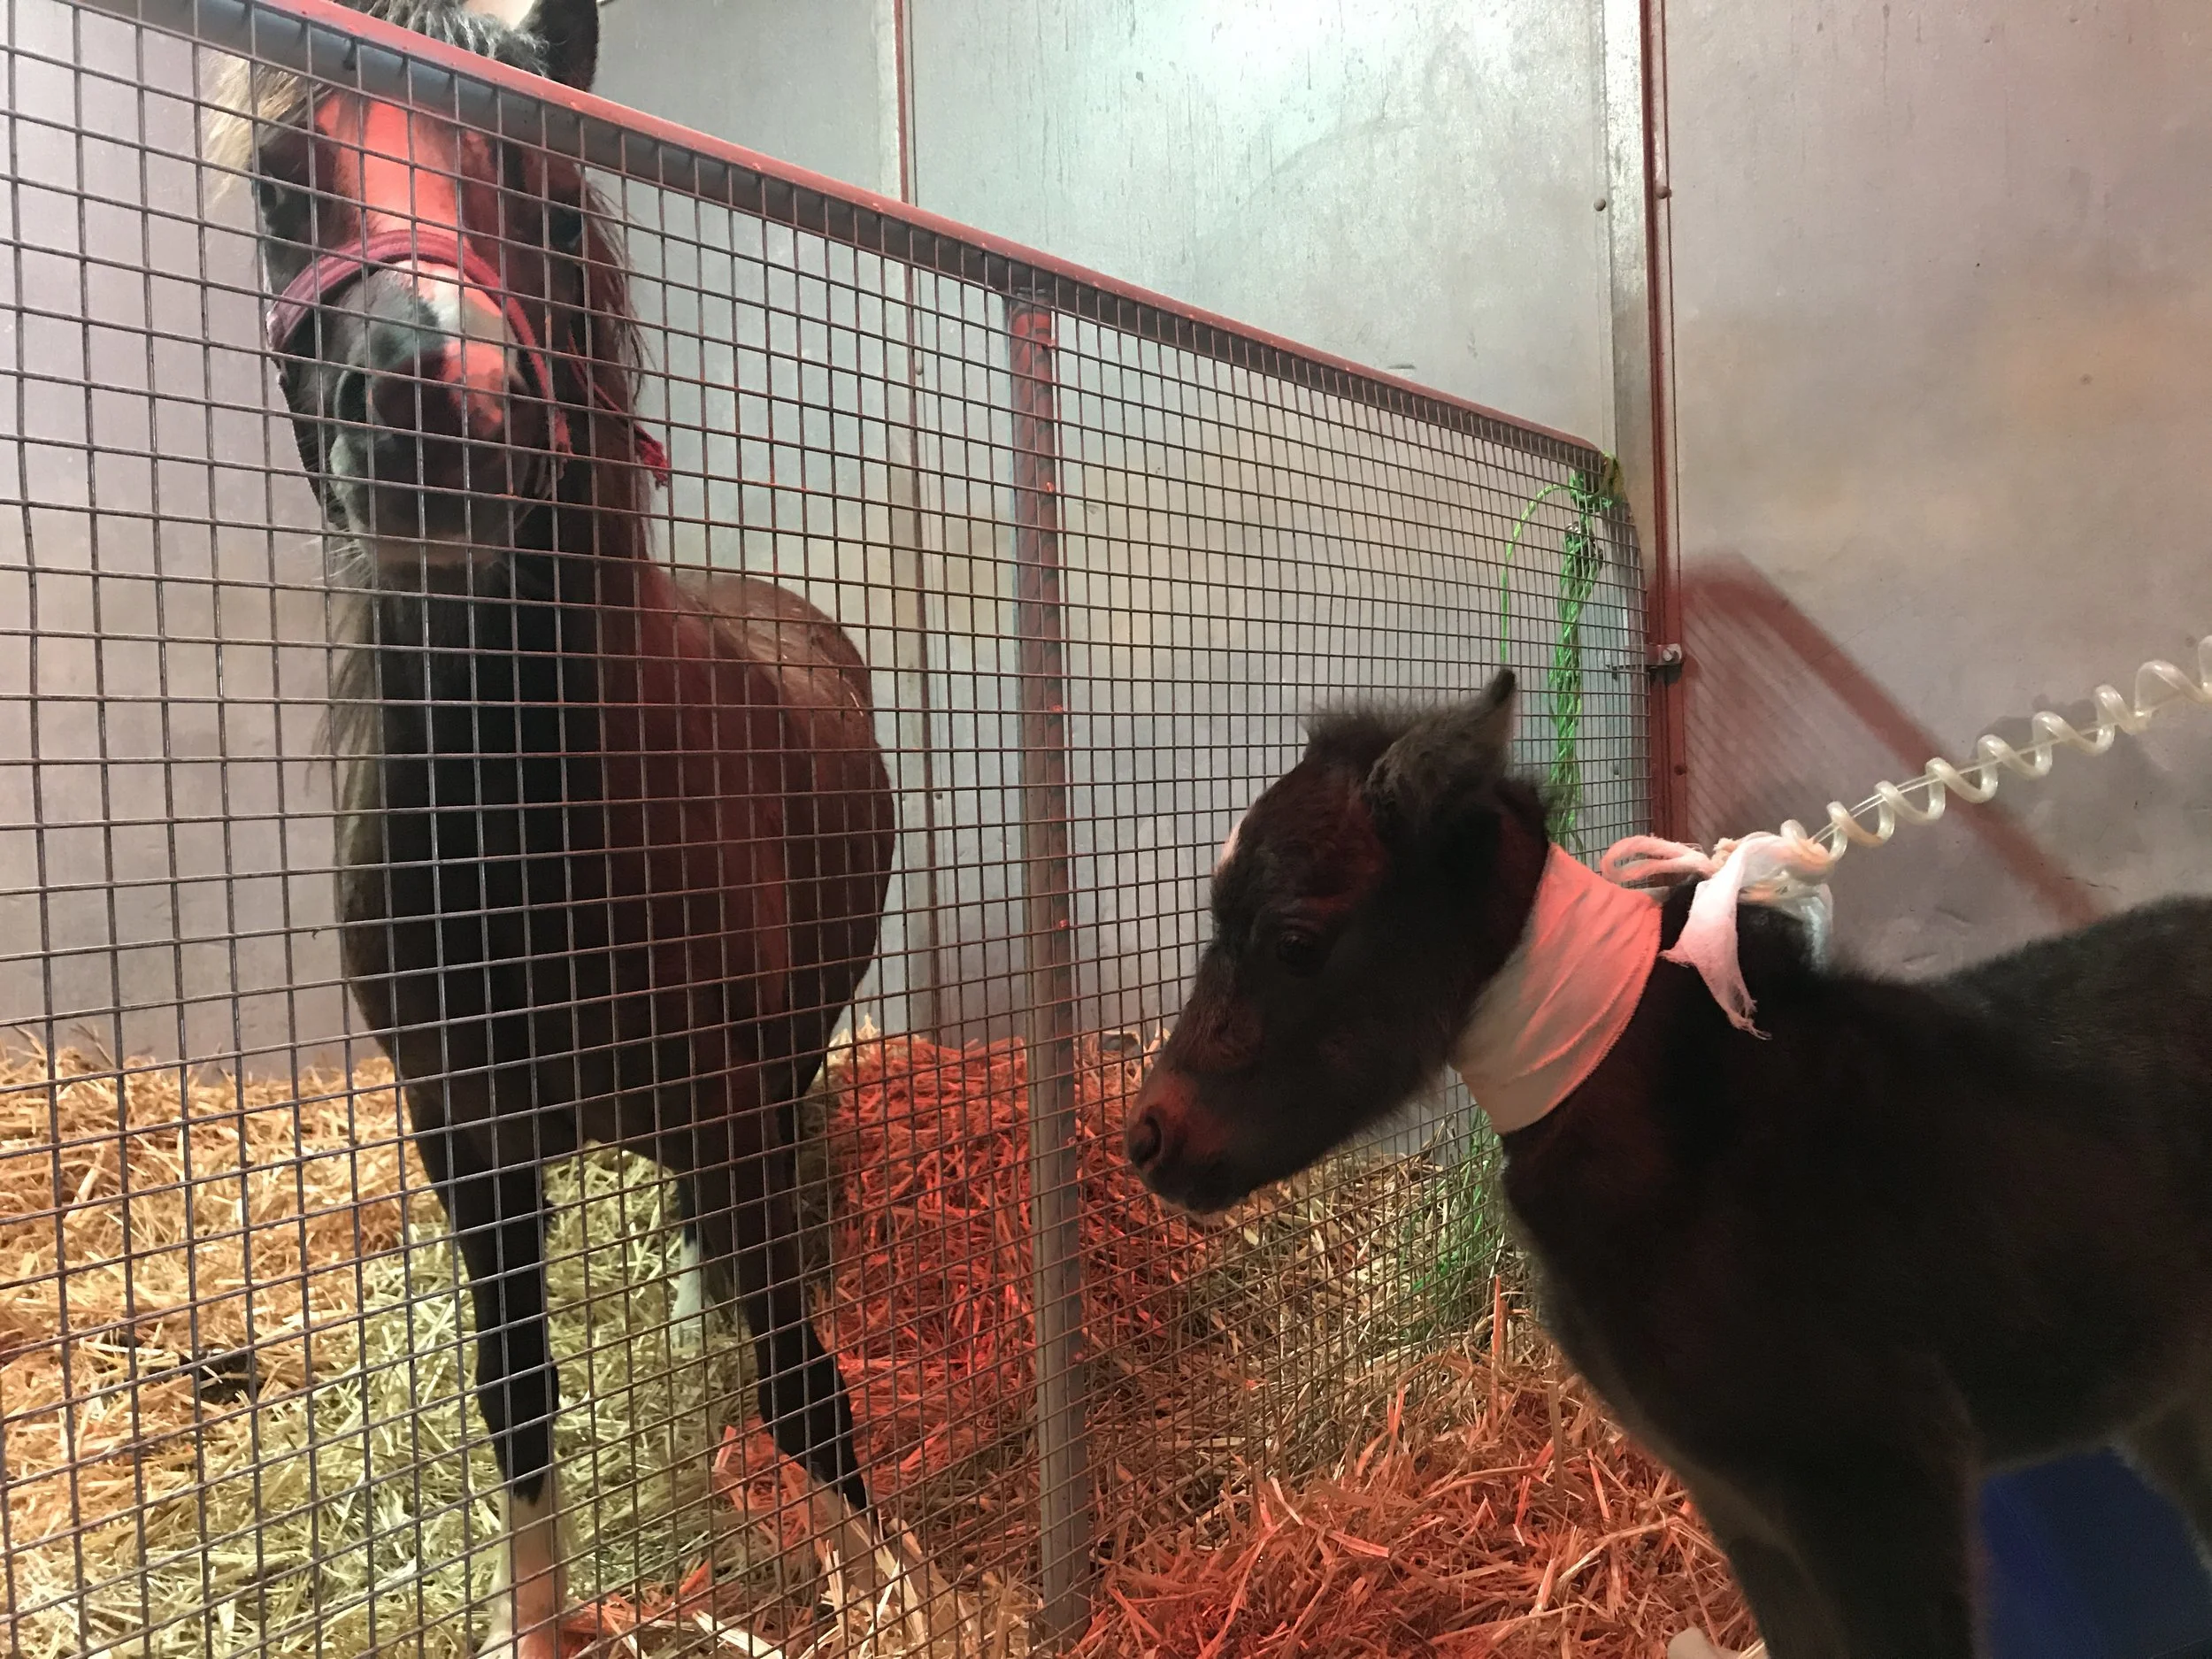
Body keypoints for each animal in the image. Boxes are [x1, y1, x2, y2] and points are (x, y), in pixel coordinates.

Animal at [218, 1, 897, 1650]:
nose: (422, 393)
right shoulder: (465, 1140)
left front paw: (903, 1588)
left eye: (535, 174)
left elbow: (800, 1378)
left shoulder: (722, 1106)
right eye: (278, 186)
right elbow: (516, 1403)